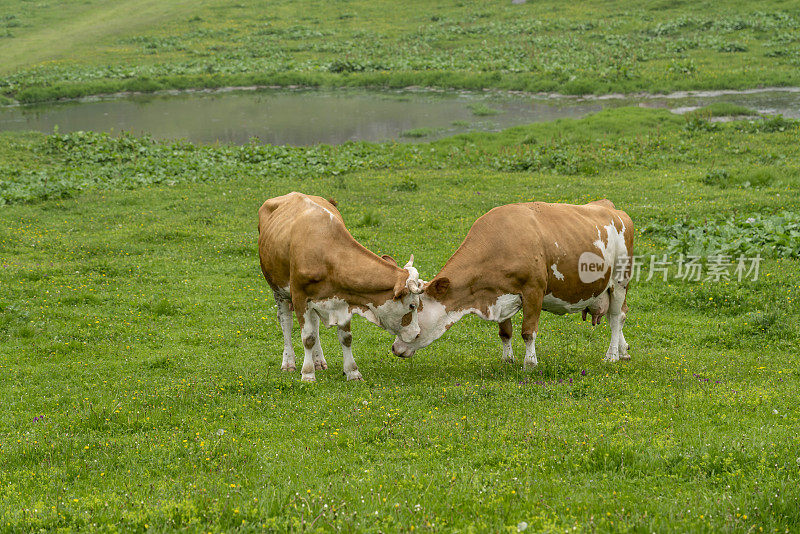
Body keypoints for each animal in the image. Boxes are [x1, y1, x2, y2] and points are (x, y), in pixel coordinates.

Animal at [260, 195, 424, 384]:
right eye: (412, 305)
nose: (417, 333)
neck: (327, 254)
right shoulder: (300, 298)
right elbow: (307, 337)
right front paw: (307, 374)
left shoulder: (344, 300)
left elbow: (345, 338)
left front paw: (352, 371)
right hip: (279, 290)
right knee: (286, 322)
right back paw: (288, 362)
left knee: (315, 324)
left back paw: (318, 361)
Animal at [390, 201, 636, 368]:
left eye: (412, 310)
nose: (394, 348)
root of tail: (609, 206)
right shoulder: (498, 295)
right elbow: (505, 332)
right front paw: (507, 359)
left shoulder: (533, 291)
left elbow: (528, 332)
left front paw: (530, 363)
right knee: (616, 316)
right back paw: (623, 351)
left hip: (619, 282)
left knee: (617, 318)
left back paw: (612, 355)